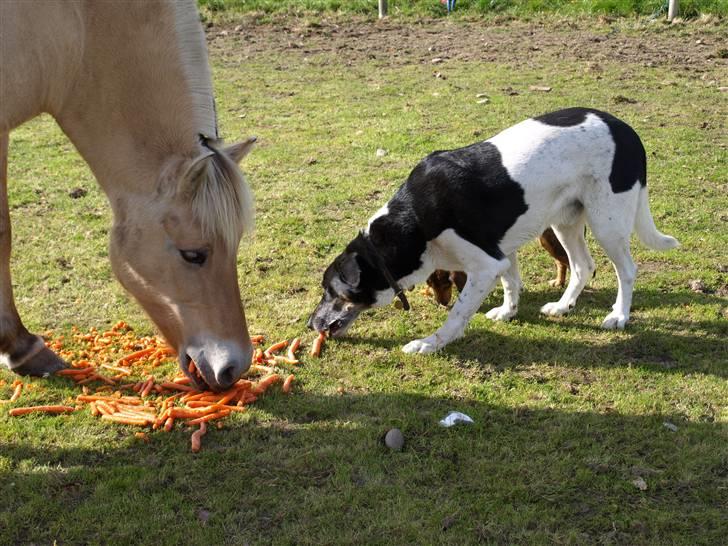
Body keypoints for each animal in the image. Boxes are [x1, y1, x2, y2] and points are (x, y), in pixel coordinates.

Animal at [306, 107, 676, 352]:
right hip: (565, 220)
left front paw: (430, 343)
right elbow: (511, 282)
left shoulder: (485, 265)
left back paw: (619, 315)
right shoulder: (502, 252)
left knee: (626, 269)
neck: (412, 218)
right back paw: (562, 306)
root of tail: (626, 130)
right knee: (583, 266)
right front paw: (508, 312)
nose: (310, 324)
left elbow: (458, 312)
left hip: (606, 220)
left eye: (330, 291)